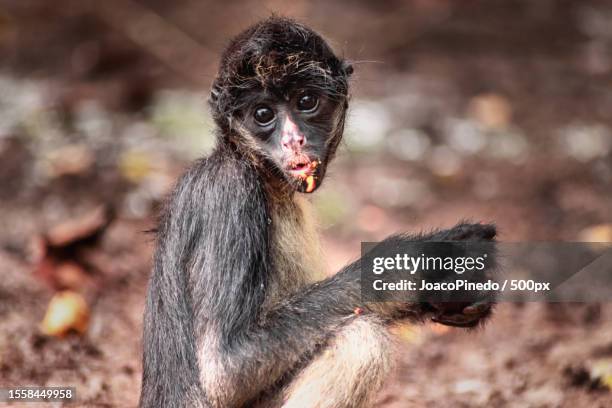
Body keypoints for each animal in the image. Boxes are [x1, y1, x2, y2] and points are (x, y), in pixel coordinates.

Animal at [140, 16, 498, 408]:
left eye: (306, 102)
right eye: (263, 114)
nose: (293, 140)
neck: (256, 169)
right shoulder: (228, 191)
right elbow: (226, 369)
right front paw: (415, 266)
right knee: (361, 340)